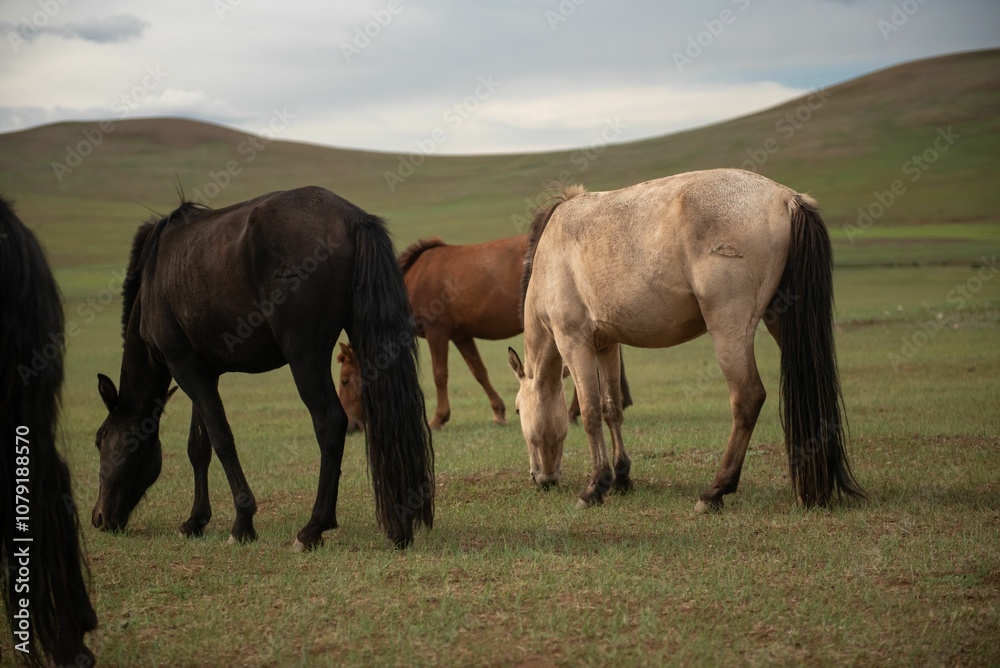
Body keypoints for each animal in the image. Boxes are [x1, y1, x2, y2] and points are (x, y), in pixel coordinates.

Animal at [92, 186, 434, 550]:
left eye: (100, 441)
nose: (98, 518)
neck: (155, 278)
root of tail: (353, 219)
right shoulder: (204, 372)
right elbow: (199, 446)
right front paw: (195, 520)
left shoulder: (184, 367)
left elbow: (221, 439)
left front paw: (242, 522)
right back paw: (400, 527)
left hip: (305, 357)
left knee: (330, 422)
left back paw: (313, 528)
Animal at [509, 169, 865, 511]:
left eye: (517, 409)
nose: (541, 478)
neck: (552, 250)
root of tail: (787, 198)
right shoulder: (606, 345)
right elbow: (612, 408)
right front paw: (621, 478)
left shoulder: (574, 343)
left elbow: (590, 412)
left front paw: (595, 487)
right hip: (781, 323)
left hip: (729, 332)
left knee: (747, 398)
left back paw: (714, 492)